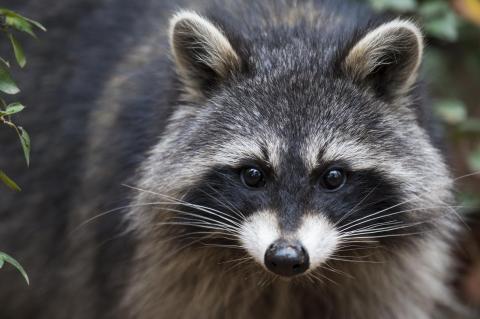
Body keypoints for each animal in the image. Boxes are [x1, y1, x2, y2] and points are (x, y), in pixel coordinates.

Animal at [0, 0, 464, 318]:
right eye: (253, 174)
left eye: (333, 177)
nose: (286, 257)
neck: (293, 27)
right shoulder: (145, 269)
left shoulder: (386, 279)